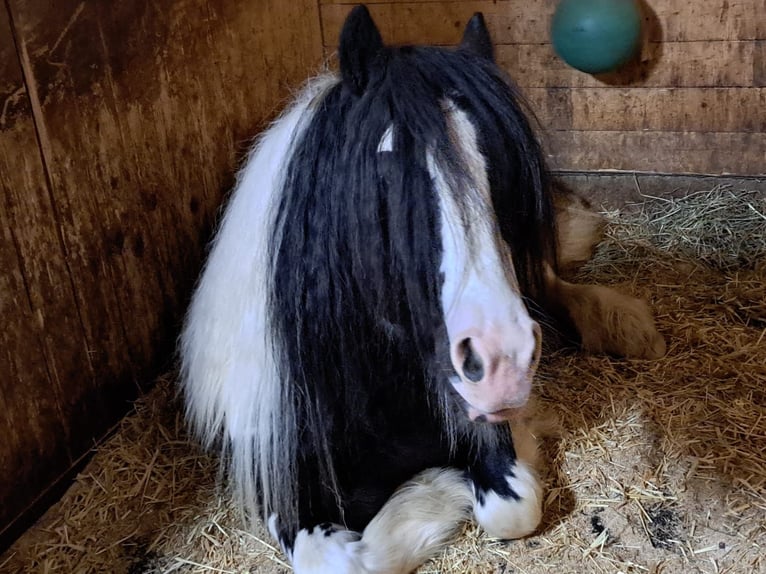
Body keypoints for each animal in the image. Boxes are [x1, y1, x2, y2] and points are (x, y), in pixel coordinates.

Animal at [182, 5, 664, 574]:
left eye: (499, 168)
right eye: (386, 167)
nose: (501, 362)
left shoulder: (485, 427)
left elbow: (512, 510)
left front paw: (437, 488)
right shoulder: (283, 484)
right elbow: (347, 561)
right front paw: (436, 490)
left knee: (549, 285)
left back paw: (626, 325)